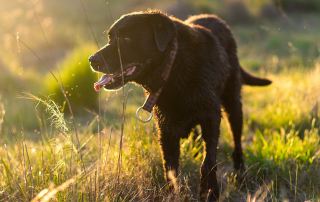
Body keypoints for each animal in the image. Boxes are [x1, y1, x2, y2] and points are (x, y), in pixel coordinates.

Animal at [89, 10, 272, 200]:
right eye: (110, 38)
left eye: (126, 38)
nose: (91, 60)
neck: (174, 68)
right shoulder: (166, 129)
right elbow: (170, 169)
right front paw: (172, 195)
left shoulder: (211, 117)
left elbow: (208, 162)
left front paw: (210, 191)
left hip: (233, 102)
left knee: (236, 140)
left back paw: (241, 171)